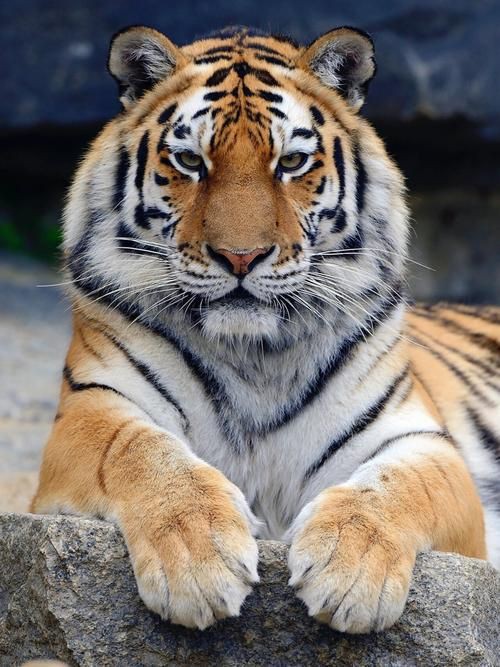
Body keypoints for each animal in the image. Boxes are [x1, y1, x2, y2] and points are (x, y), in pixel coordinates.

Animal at [31, 24, 500, 634]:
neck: (254, 353)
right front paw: (198, 557)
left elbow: (395, 487)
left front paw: (350, 572)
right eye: (190, 160)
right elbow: (142, 452)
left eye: (292, 162)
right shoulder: (90, 409)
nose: (241, 257)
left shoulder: (421, 441)